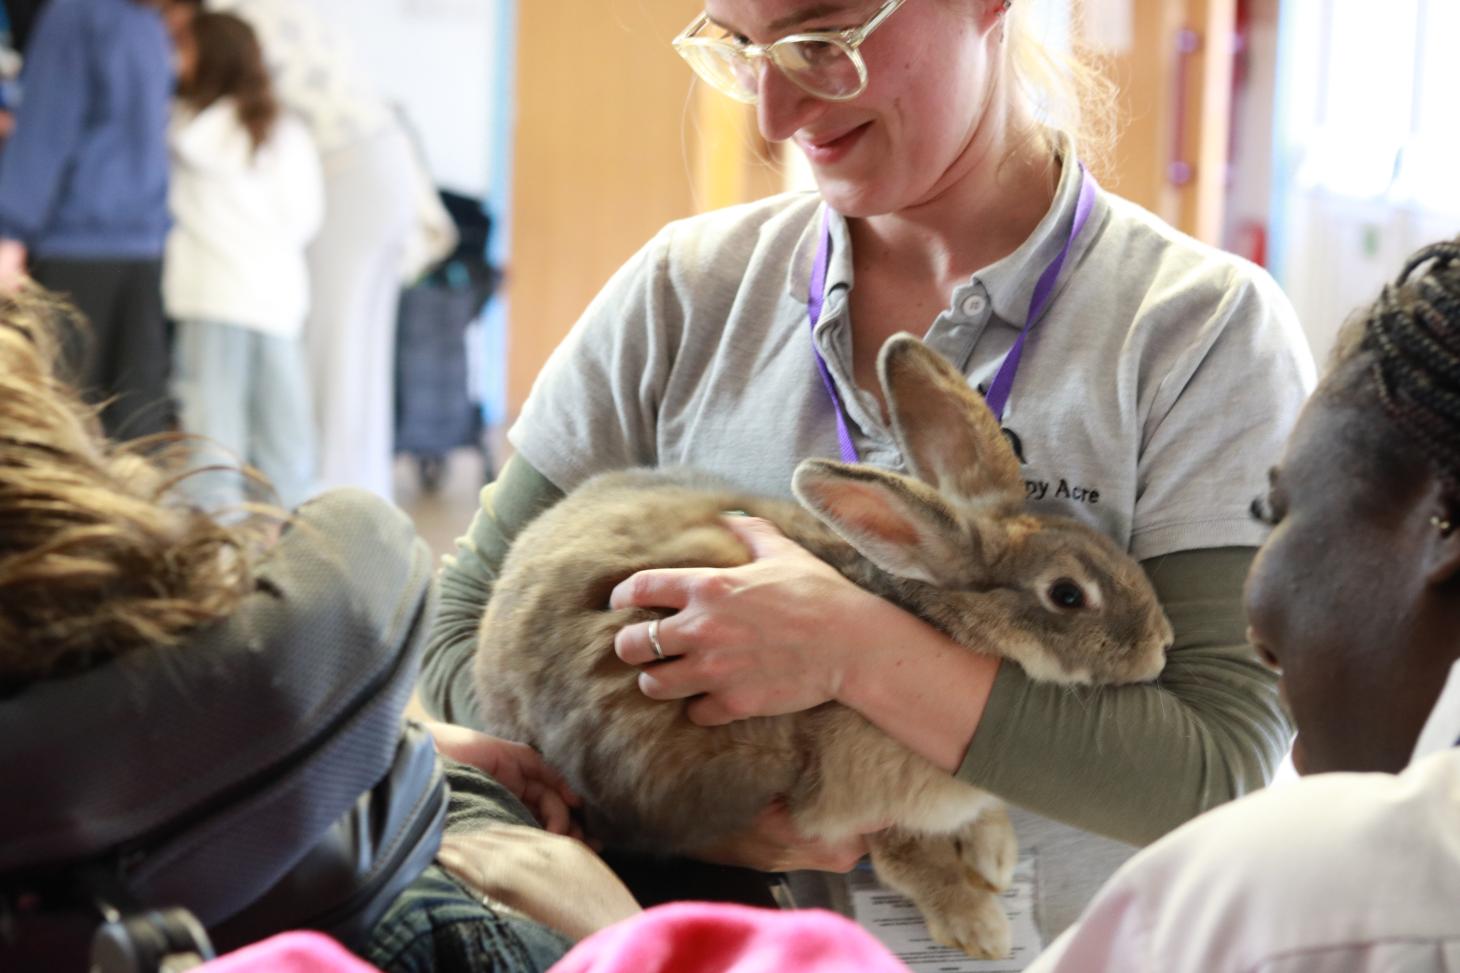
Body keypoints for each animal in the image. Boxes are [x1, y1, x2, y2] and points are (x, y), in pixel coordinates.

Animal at [471, 332, 1172, 958]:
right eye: (1067, 595)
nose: (1161, 647)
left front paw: (994, 854)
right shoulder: (857, 805)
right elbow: (908, 858)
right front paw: (977, 922)